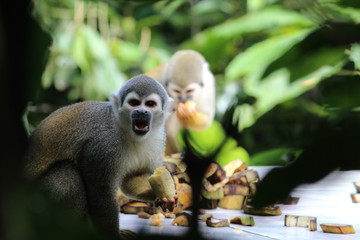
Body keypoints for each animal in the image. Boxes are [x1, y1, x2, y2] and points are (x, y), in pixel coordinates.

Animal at [23, 75, 174, 240]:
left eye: (150, 104)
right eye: (134, 103)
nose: (141, 111)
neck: (130, 133)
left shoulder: (158, 138)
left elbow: (133, 178)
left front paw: (160, 196)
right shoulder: (103, 143)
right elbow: (101, 190)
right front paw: (114, 236)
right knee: (67, 174)